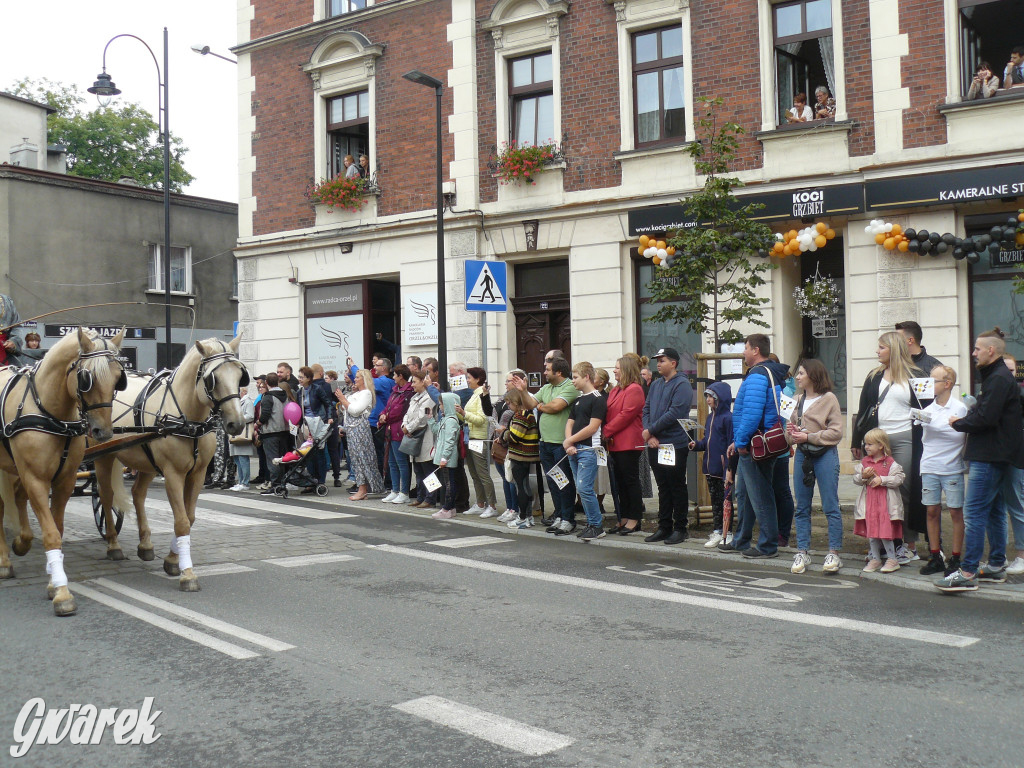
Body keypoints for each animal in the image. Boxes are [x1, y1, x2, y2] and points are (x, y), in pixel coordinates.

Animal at [0, 327, 127, 618]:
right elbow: (50, 534)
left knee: (17, 499)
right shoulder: (36, 479)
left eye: (119, 378)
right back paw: (4, 562)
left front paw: (52, 579)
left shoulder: (64, 481)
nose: (103, 432)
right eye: (86, 378)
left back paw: (20, 544)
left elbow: (56, 528)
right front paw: (62, 593)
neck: (51, 413)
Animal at [94, 335, 249, 593]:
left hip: (145, 461)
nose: (236, 424)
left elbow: (190, 517)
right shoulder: (173, 474)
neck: (188, 419)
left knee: (137, 493)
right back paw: (113, 545)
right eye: (213, 379)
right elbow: (182, 521)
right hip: (103, 456)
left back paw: (145, 545)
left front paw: (173, 560)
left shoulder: (197, 474)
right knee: (106, 497)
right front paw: (187, 573)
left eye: (240, 375)